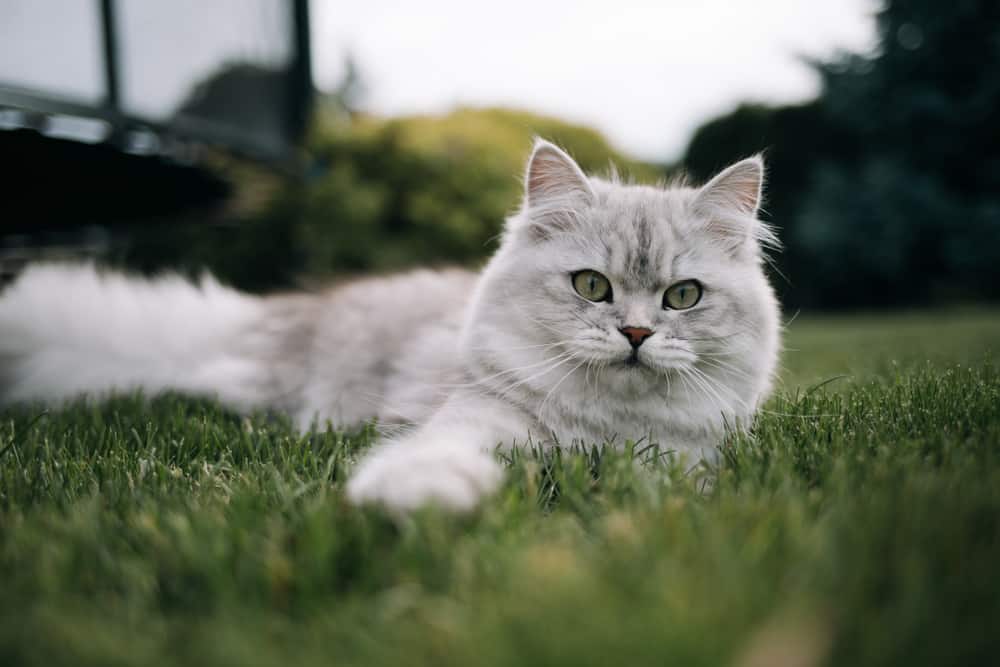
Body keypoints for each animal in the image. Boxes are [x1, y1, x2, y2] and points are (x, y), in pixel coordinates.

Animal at [0, 141, 780, 512]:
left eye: (682, 296)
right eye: (592, 286)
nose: (638, 336)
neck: (601, 432)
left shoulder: (684, 458)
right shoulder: (479, 418)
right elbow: (440, 455)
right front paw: (415, 501)